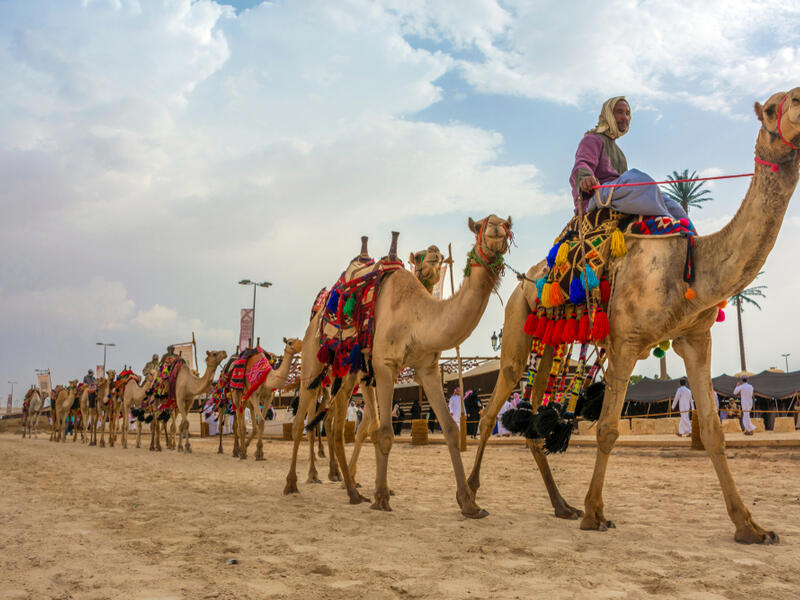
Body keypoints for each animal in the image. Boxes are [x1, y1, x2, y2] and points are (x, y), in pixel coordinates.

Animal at [285, 215, 512, 518]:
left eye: (507, 223)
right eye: (479, 226)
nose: (497, 227)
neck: (416, 317)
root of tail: (313, 323)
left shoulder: (427, 368)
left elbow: (450, 429)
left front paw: (469, 503)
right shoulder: (384, 366)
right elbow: (382, 431)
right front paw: (381, 496)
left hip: (347, 376)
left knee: (335, 427)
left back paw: (352, 491)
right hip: (313, 366)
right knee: (303, 422)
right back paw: (294, 483)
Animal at [467, 88, 800, 544]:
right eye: (771, 108)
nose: (799, 103)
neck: (690, 268)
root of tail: (524, 281)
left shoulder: (695, 338)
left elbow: (713, 430)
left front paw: (750, 526)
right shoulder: (625, 341)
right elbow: (608, 428)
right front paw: (595, 514)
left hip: (550, 343)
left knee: (533, 419)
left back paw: (561, 505)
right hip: (517, 327)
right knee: (489, 412)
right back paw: (470, 500)